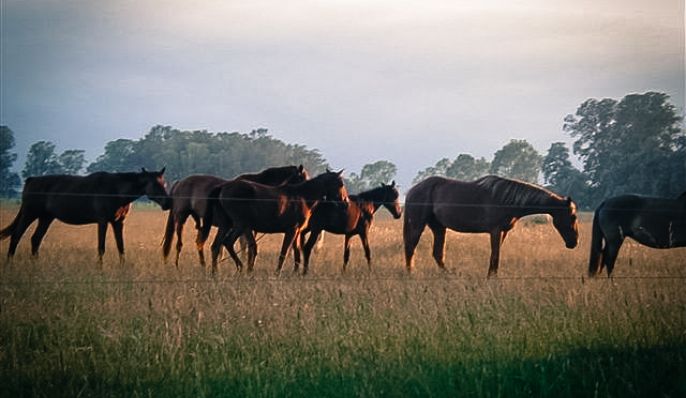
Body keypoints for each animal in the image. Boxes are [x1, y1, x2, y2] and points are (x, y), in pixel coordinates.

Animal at [0, 169, 172, 264]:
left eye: (164, 183)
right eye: (155, 184)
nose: (168, 203)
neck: (115, 189)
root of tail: (31, 180)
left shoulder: (118, 222)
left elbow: (121, 247)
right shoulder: (102, 221)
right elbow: (101, 247)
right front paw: (100, 269)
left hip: (46, 218)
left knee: (35, 239)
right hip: (30, 214)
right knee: (16, 236)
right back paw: (10, 263)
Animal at [162, 165, 310, 268]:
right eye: (303, 178)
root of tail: (179, 182)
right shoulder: (246, 226)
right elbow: (246, 245)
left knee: (199, 242)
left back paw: (203, 265)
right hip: (181, 217)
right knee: (179, 243)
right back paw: (178, 265)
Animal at [200, 169, 350, 276]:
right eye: (341, 184)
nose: (346, 203)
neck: (301, 196)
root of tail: (223, 187)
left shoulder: (297, 232)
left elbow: (296, 251)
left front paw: (295, 272)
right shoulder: (291, 230)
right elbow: (284, 252)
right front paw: (278, 272)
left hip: (227, 225)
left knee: (217, 245)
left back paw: (216, 272)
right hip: (241, 225)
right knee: (232, 243)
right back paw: (242, 268)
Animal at [404, 176, 580, 278]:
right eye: (573, 216)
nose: (574, 242)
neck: (508, 199)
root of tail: (413, 189)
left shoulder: (503, 232)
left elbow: (496, 255)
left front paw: (492, 276)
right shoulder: (495, 231)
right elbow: (495, 255)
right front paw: (491, 277)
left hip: (439, 227)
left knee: (437, 254)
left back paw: (450, 275)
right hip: (418, 224)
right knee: (411, 248)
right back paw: (411, 273)